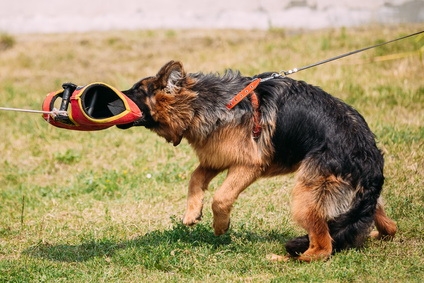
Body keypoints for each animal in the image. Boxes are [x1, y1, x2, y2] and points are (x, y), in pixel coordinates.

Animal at [118, 61, 398, 262]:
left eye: (137, 91)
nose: (114, 96)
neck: (204, 102)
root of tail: (371, 163)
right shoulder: (217, 158)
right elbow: (195, 178)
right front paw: (192, 212)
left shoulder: (248, 165)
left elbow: (221, 197)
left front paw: (220, 226)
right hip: (354, 203)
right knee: (387, 227)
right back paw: (372, 235)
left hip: (306, 197)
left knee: (322, 248)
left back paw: (285, 259)